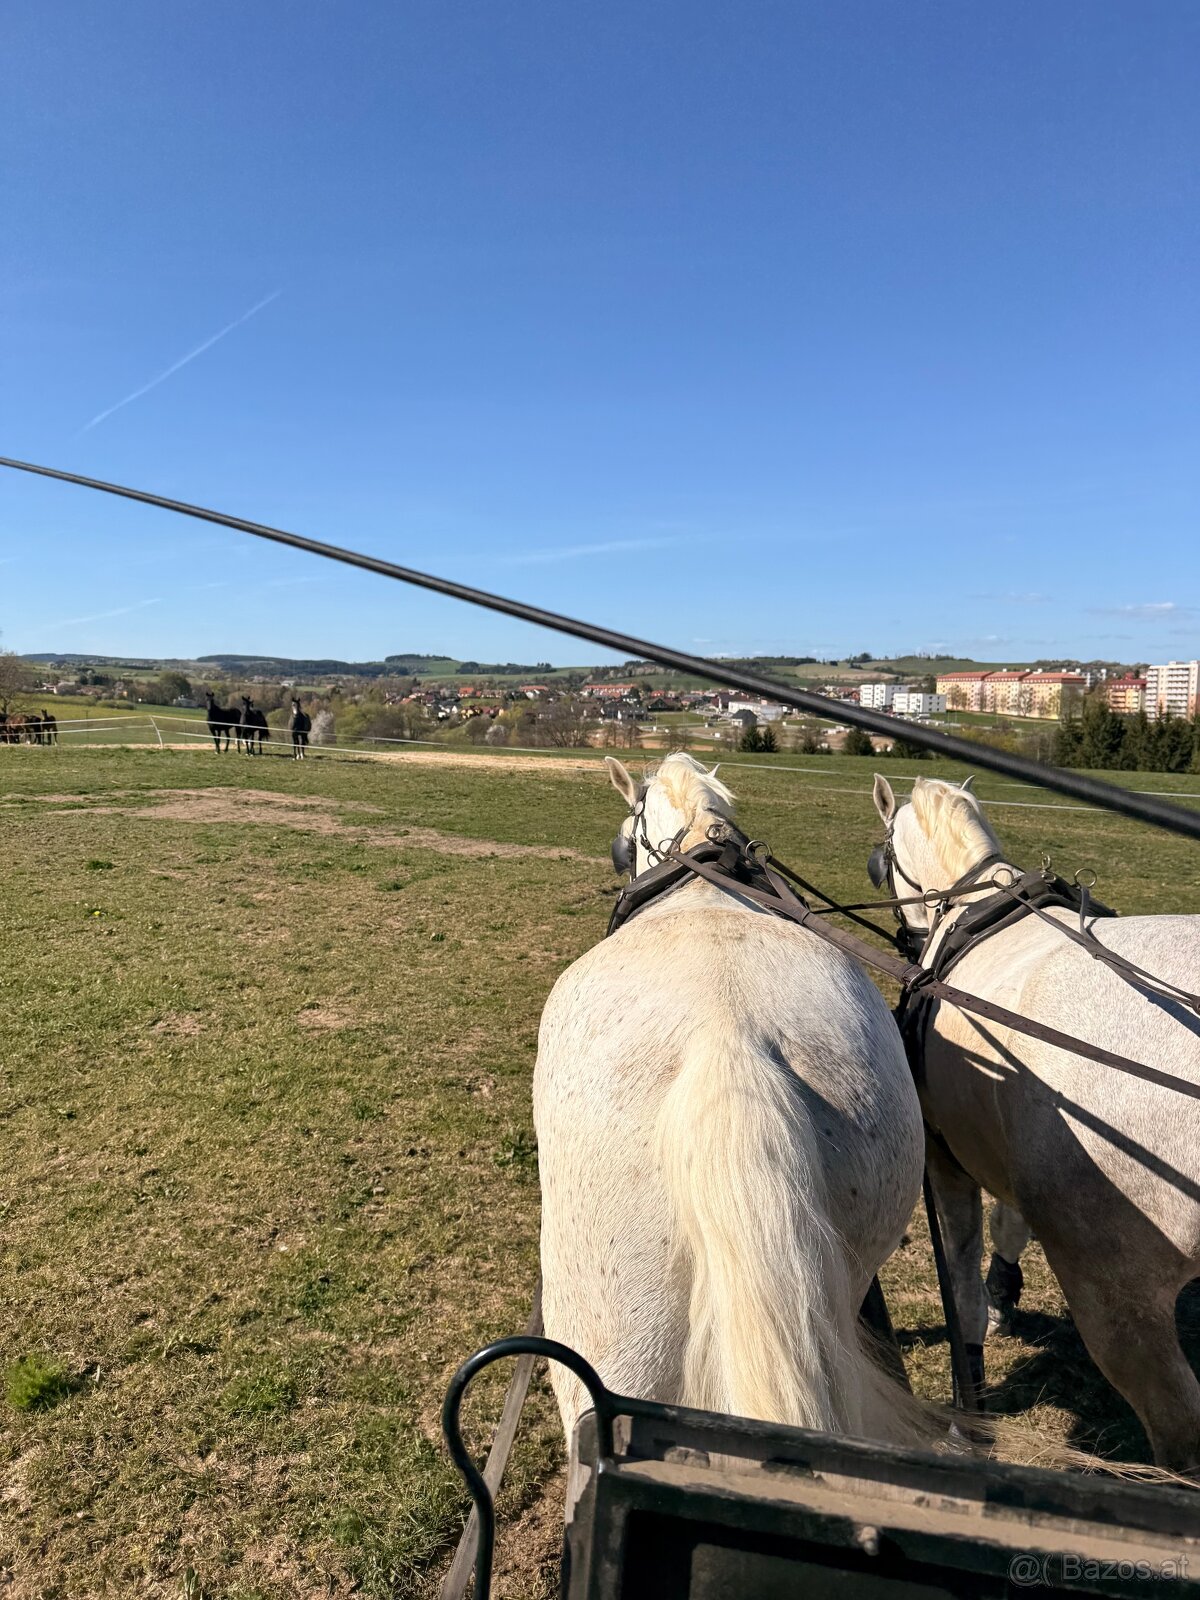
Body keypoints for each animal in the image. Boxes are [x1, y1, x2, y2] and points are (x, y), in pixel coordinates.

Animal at [870, 773, 1200, 1470]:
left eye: (881, 857)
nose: (907, 936)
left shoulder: (944, 1159)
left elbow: (962, 1295)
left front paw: (969, 1421)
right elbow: (1011, 1224)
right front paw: (1006, 1293)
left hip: (1115, 1295)